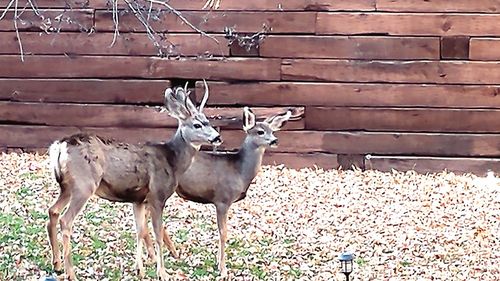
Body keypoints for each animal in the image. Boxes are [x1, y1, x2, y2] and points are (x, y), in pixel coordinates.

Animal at [46, 81, 222, 280]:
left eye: (208, 121)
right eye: (197, 124)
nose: (217, 137)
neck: (172, 161)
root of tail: (60, 145)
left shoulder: (139, 200)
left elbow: (139, 231)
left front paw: (140, 269)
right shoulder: (157, 196)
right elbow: (157, 233)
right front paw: (162, 272)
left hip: (67, 186)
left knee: (53, 211)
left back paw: (57, 264)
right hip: (84, 185)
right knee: (66, 220)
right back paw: (71, 273)